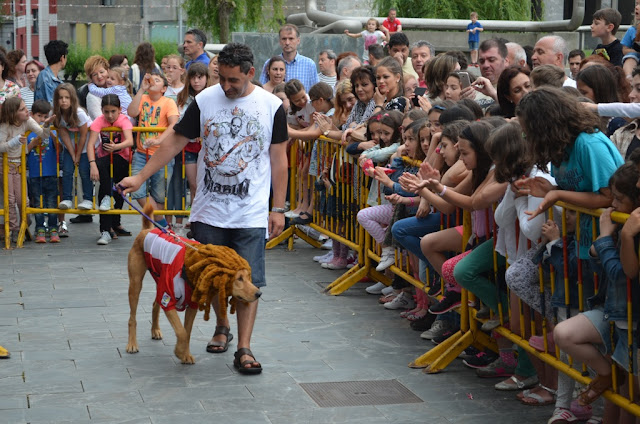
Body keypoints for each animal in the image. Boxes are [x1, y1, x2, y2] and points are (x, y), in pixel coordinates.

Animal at [125, 204, 260, 362]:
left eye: (248, 277)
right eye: (239, 279)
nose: (259, 293)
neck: (192, 269)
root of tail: (147, 230)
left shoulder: (192, 306)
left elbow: (187, 333)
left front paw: (185, 354)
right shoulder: (168, 301)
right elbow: (181, 332)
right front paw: (179, 352)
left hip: (159, 280)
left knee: (154, 305)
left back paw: (155, 330)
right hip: (135, 284)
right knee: (132, 318)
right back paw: (132, 344)